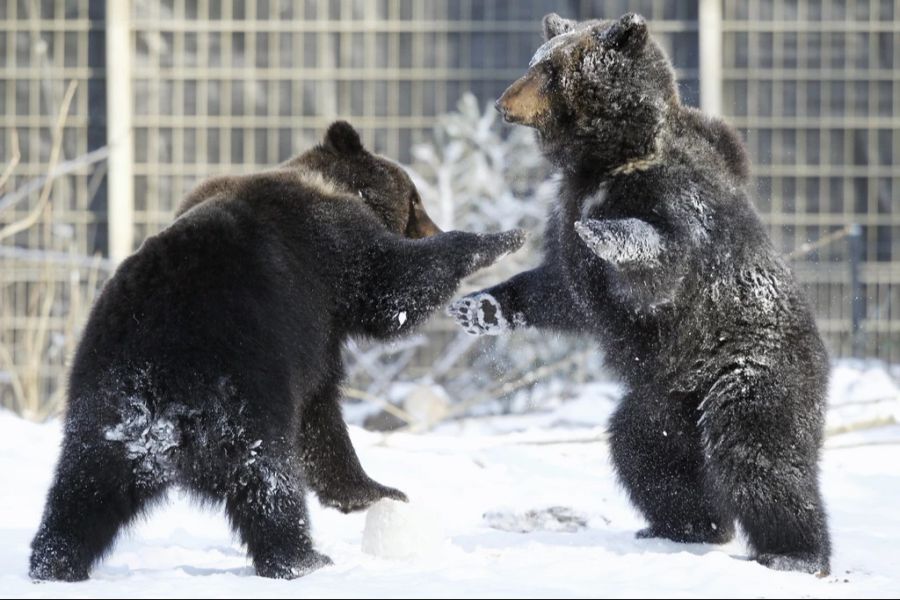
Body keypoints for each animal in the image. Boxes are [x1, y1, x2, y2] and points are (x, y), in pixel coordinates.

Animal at [29, 122, 528, 580]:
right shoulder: (329, 256)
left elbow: (320, 423)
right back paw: (303, 559)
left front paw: (373, 491)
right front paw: (501, 238)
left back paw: (53, 562)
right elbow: (392, 286)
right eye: (415, 200)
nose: (430, 225)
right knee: (268, 482)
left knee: (79, 493)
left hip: (100, 412)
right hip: (241, 395)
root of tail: (158, 415)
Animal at [450, 14, 828, 576]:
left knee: (757, 454)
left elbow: (657, 266)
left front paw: (606, 233)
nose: (503, 101)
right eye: (536, 61)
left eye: (549, 70)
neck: (609, 159)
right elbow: (561, 289)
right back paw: (685, 525)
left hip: (751, 371)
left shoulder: (672, 200)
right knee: (643, 451)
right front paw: (479, 306)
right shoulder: (568, 209)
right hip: (662, 401)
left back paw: (794, 553)